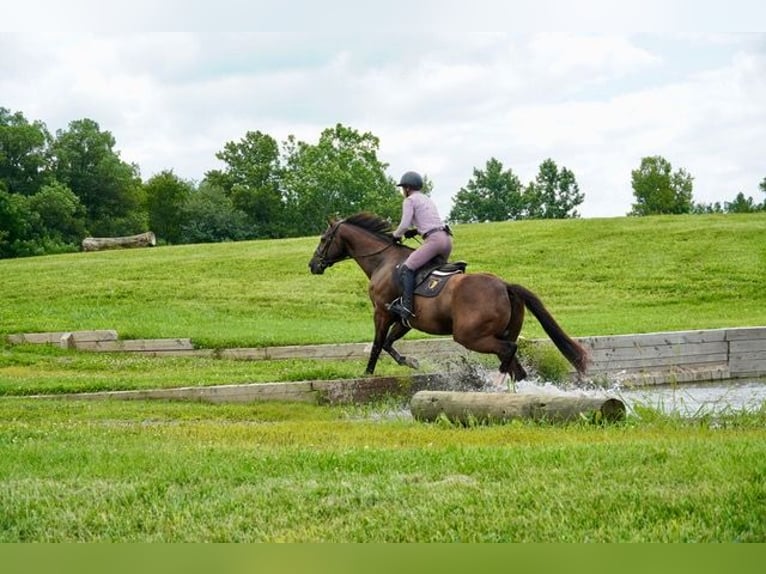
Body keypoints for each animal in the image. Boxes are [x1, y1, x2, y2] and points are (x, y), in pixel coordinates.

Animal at [308, 212, 588, 383]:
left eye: (323, 239)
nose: (313, 265)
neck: (383, 260)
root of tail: (505, 285)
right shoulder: (405, 320)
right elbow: (388, 343)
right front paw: (411, 361)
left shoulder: (382, 312)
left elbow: (377, 344)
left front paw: (367, 373)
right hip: (499, 333)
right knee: (516, 367)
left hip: (470, 336)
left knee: (509, 352)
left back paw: (496, 382)